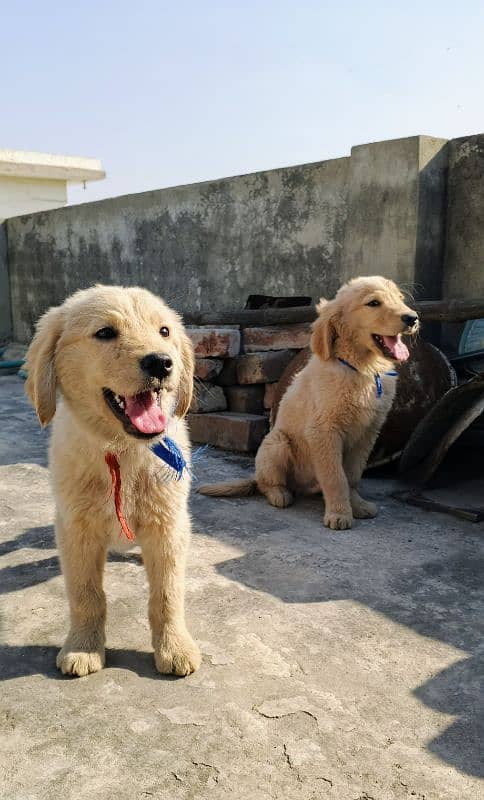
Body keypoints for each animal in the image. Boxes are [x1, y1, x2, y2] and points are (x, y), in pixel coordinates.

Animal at [26, 286, 200, 676]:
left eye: (164, 331)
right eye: (105, 332)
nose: (162, 363)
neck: (122, 451)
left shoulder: (168, 524)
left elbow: (167, 593)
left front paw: (175, 647)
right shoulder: (76, 527)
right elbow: (85, 594)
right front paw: (83, 647)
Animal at [200, 276, 420, 532]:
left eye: (400, 299)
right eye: (373, 303)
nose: (412, 318)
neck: (362, 369)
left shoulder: (367, 433)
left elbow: (352, 476)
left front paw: (357, 505)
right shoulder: (324, 431)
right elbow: (336, 478)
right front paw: (339, 513)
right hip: (277, 443)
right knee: (266, 483)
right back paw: (279, 494)